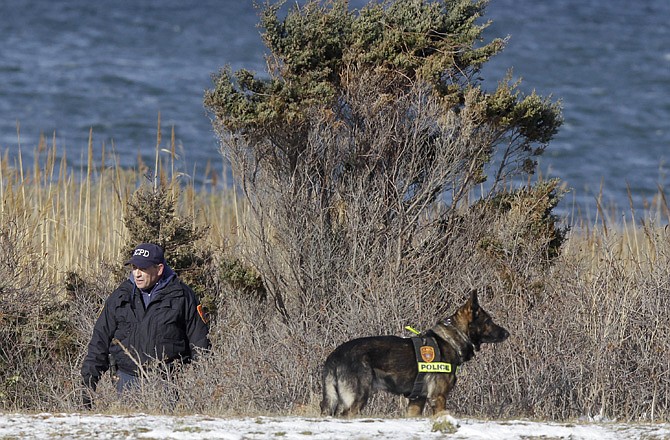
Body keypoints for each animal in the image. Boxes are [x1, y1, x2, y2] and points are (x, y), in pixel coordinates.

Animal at [320, 290, 510, 418]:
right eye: (489, 321)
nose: (507, 333)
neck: (452, 339)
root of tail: (335, 356)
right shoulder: (438, 398)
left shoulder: (416, 402)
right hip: (357, 399)